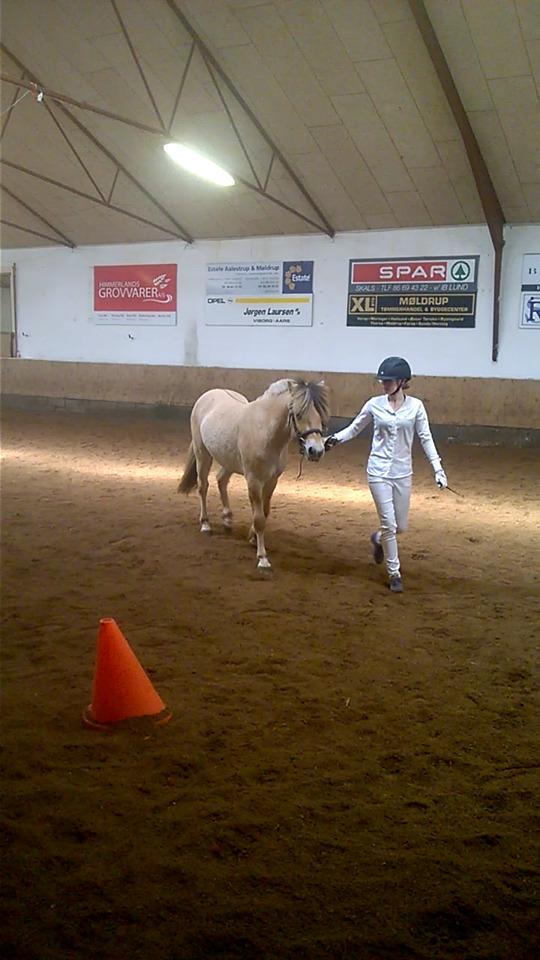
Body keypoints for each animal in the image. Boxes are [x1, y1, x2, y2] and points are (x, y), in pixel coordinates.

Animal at [178, 376, 330, 568]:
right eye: (298, 414)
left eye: (320, 416)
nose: (316, 451)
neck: (264, 431)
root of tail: (206, 395)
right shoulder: (254, 480)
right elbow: (259, 518)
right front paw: (262, 558)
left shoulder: (272, 480)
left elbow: (264, 512)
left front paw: (252, 538)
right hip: (202, 454)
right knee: (203, 486)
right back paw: (206, 525)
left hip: (229, 461)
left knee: (221, 480)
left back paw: (227, 520)